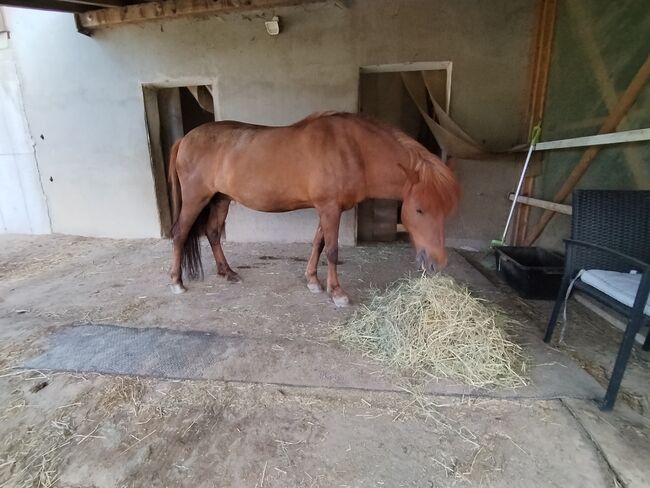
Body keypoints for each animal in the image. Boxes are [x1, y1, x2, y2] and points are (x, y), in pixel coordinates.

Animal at [167, 111, 460, 306]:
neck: (353, 150)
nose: (437, 263)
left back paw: (227, 273)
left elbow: (318, 244)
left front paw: (313, 281)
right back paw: (177, 282)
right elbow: (331, 250)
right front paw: (337, 293)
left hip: (221, 199)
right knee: (180, 234)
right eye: (419, 210)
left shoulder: (328, 208)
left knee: (213, 233)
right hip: (196, 199)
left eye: (446, 211)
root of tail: (184, 140)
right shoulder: (330, 208)